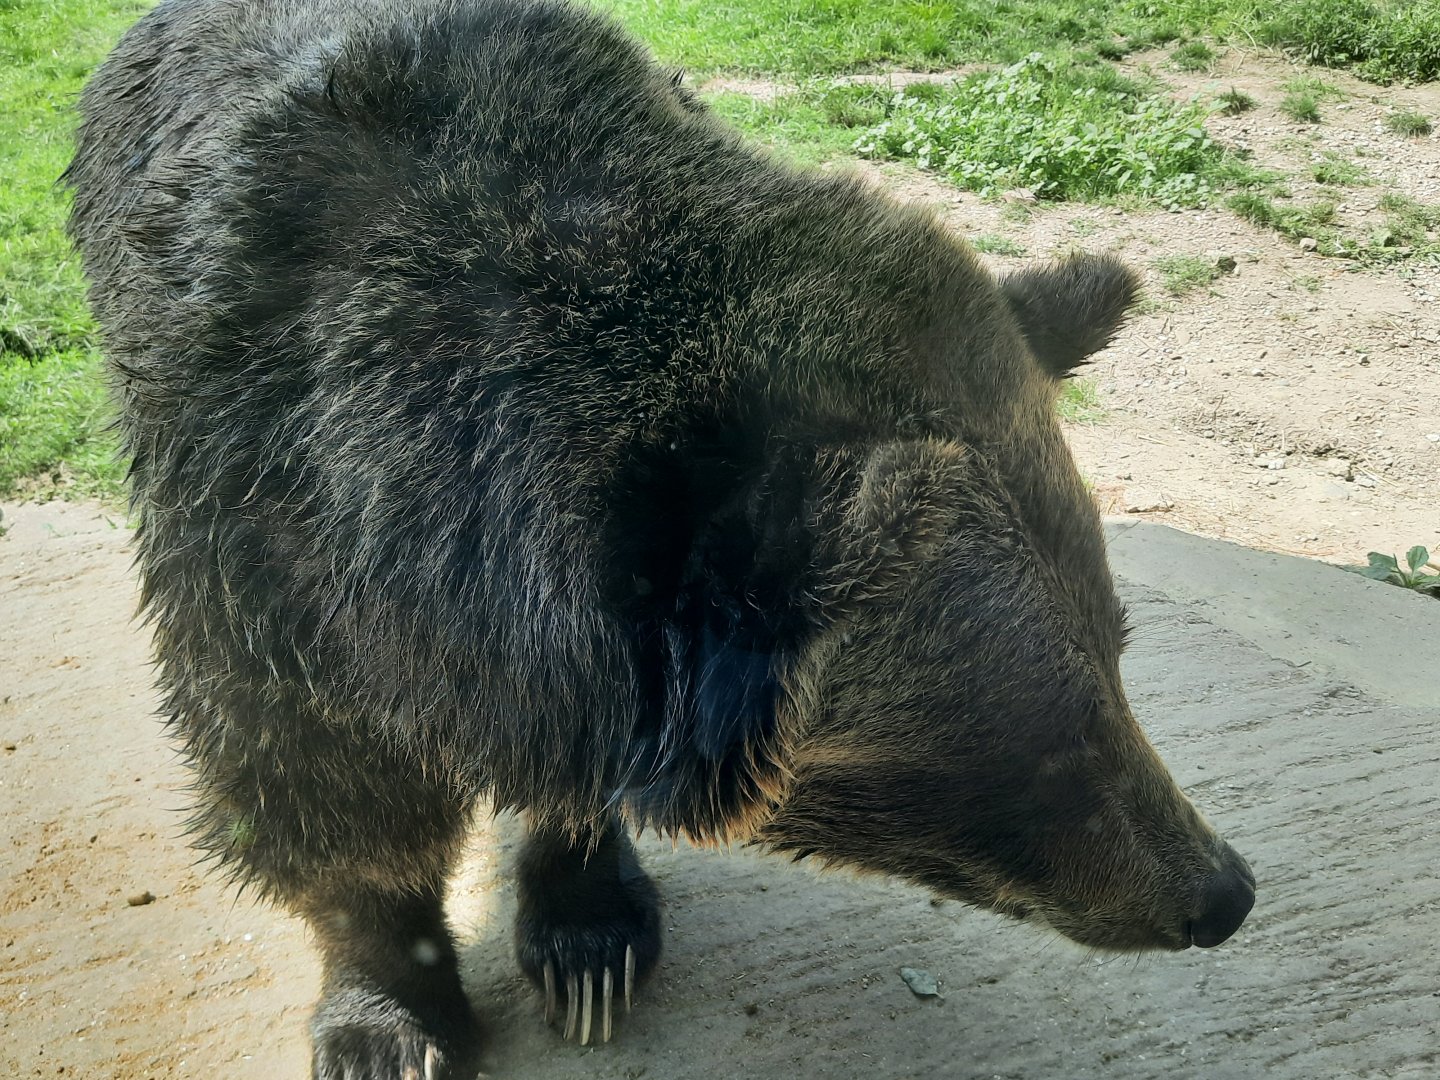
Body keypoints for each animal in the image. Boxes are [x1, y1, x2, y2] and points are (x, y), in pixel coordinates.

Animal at [65, 0, 1255, 1076]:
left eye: (1115, 650)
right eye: (1042, 741)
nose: (1221, 890)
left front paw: (588, 935)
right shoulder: (256, 527)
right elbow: (312, 787)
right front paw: (388, 1016)